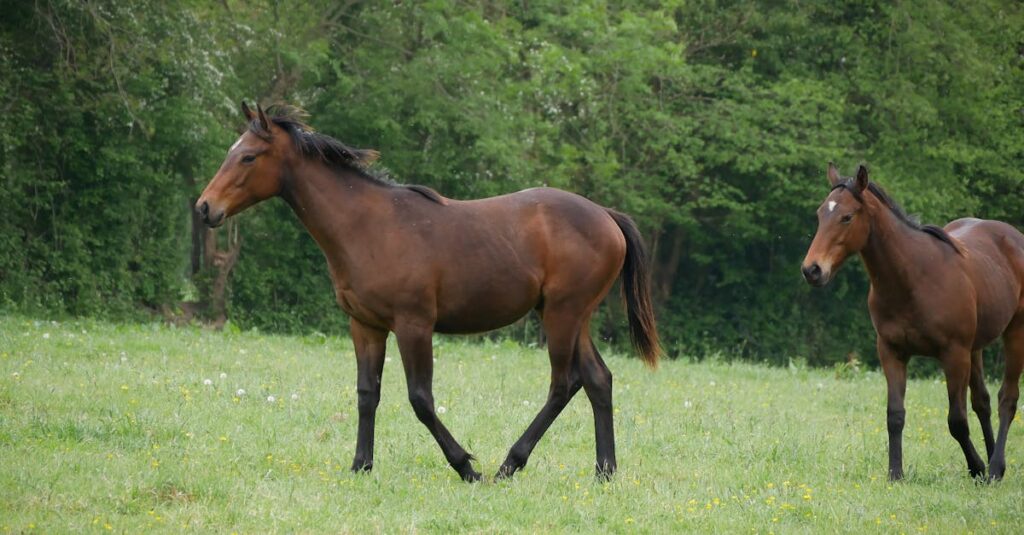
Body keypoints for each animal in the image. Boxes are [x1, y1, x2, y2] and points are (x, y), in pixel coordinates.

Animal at [196, 103, 660, 482]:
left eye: (248, 156)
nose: (204, 208)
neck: (367, 226)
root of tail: (606, 216)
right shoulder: (365, 325)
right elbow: (367, 394)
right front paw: (360, 466)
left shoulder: (413, 324)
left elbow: (420, 399)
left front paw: (465, 466)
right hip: (570, 315)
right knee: (597, 379)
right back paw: (604, 472)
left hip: (562, 315)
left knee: (563, 384)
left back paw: (509, 464)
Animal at [801, 163, 1024, 481]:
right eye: (821, 214)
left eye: (846, 216)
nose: (812, 270)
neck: (912, 278)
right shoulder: (892, 352)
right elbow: (895, 415)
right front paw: (895, 473)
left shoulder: (954, 355)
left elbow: (956, 421)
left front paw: (977, 467)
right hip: (976, 348)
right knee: (982, 401)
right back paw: (993, 459)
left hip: (1014, 332)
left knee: (1007, 398)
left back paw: (995, 468)